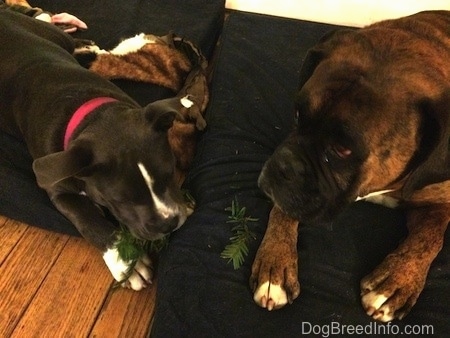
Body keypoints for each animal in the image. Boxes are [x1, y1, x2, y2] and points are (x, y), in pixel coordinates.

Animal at [251, 9, 448, 322]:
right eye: (298, 114)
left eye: (342, 150)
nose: (284, 164)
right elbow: (282, 209)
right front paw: (275, 262)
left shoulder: (439, 203)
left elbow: (430, 238)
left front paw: (395, 282)